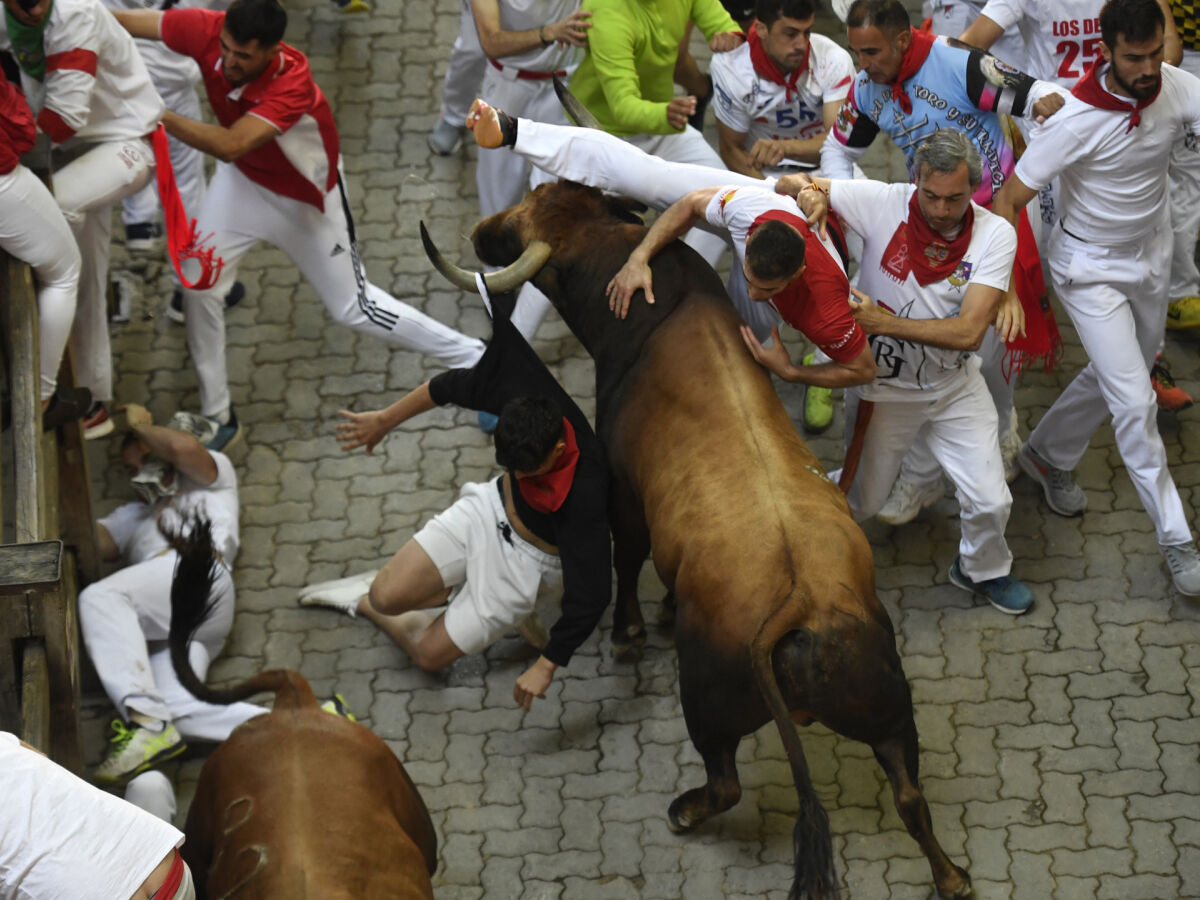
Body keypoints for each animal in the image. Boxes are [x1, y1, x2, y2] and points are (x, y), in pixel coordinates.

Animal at [422, 180, 974, 897]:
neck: (660, 306)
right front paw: (661, 611)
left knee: (727, 782)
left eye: (522, 222)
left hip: (709, 702)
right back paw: (951, 875)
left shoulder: (624, 493)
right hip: (886, 706)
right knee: (909, 793)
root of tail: (805, 602)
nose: (482, 231)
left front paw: (631, 631)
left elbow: (628, 560)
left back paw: (682, 810)